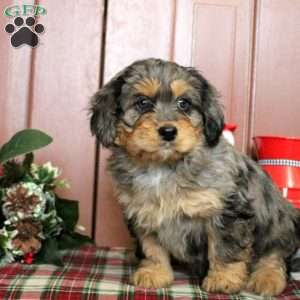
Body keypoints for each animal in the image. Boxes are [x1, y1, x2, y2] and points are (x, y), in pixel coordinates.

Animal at [89, 58, 300, 296]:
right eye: (143, 103)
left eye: (184, 103)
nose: (168, 131)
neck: (162, 167)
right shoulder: (143, 215)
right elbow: (151, 248)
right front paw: (155, 273)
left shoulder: (227, 211)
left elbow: (225, 248)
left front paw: (223, 279)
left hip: (279, 225)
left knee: (275, 256)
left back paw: (267, 279)